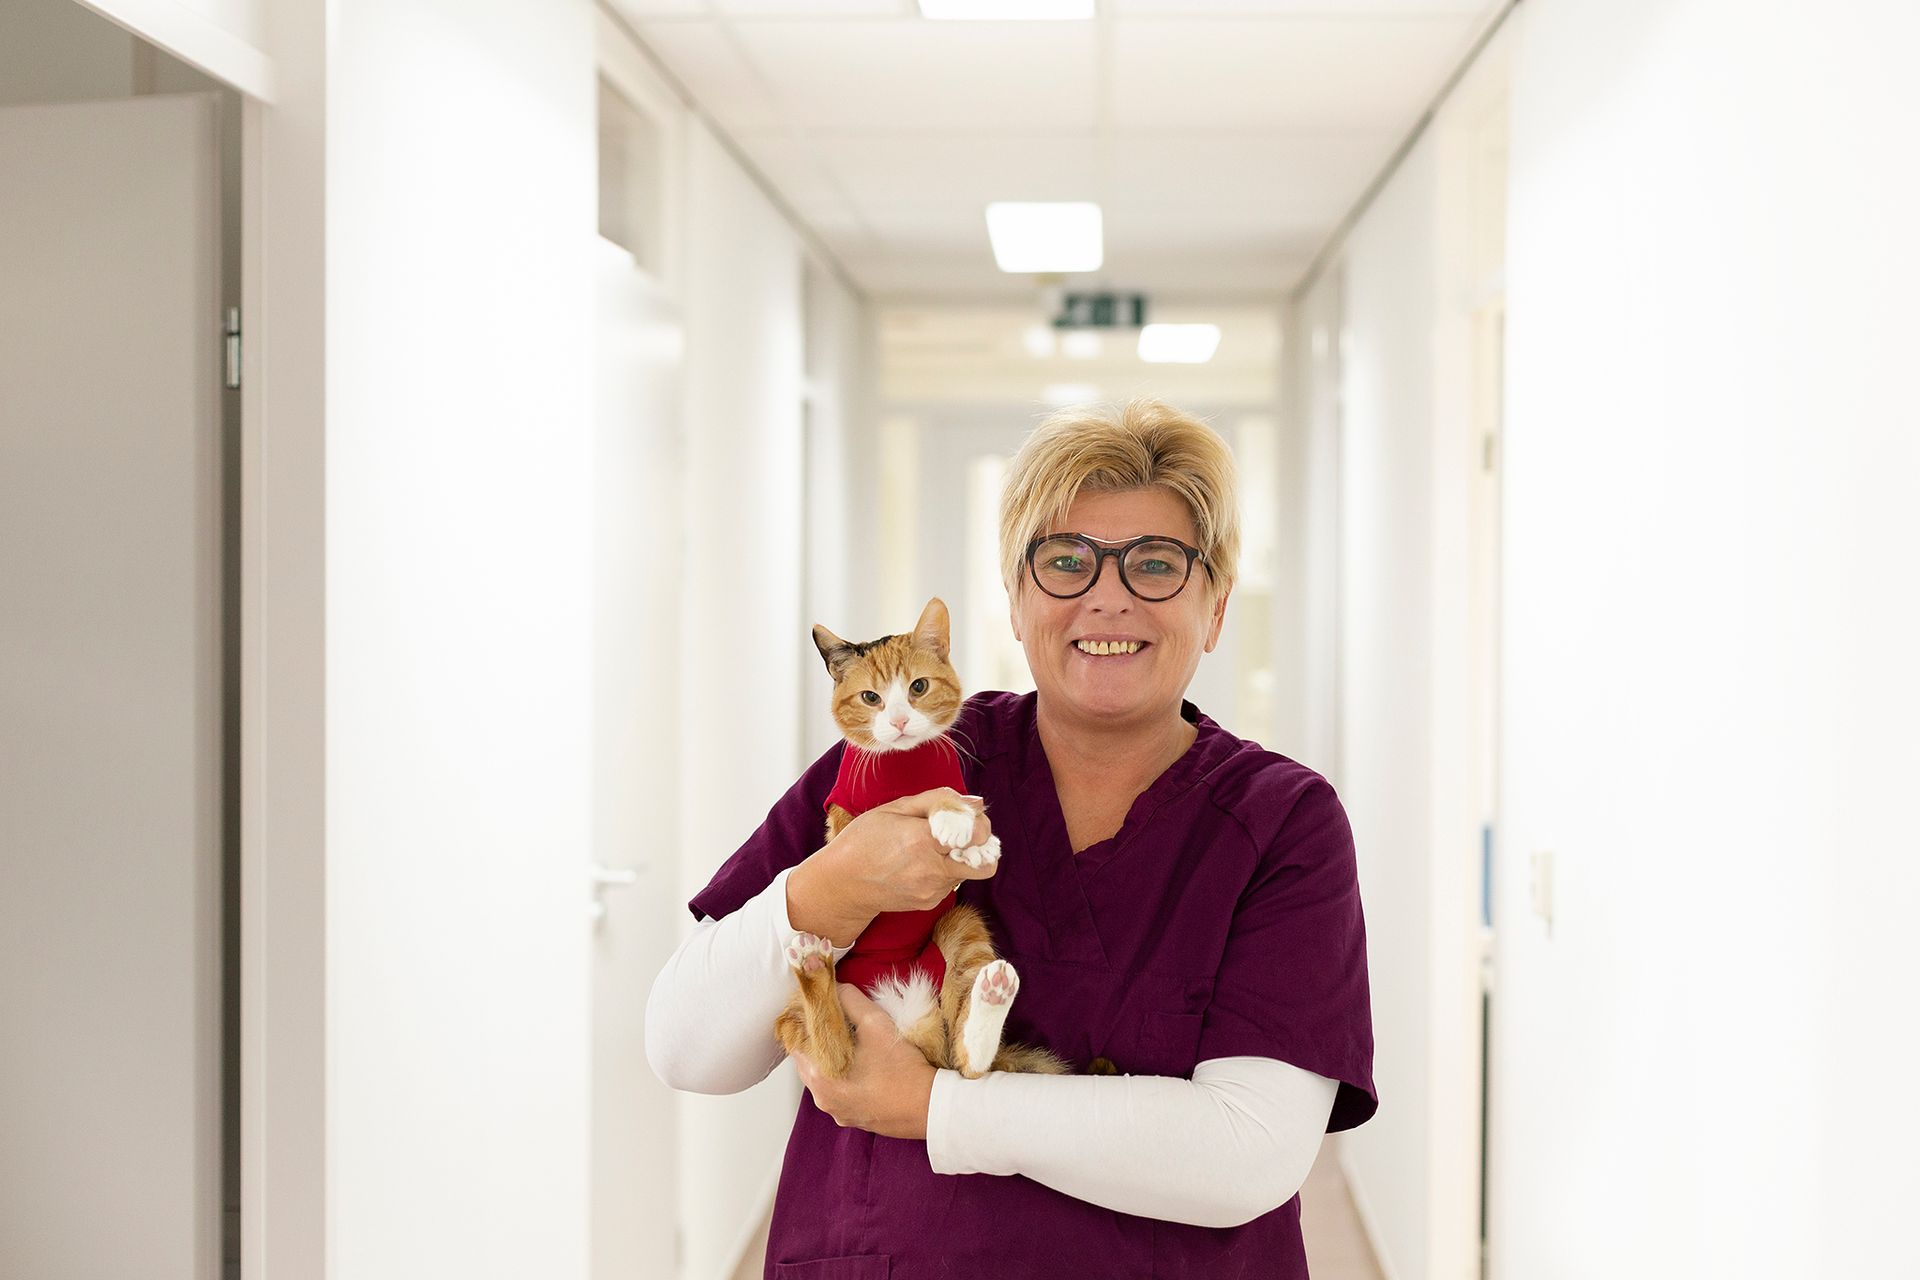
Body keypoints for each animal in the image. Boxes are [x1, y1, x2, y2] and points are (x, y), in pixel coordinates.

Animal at [775, 602, 1075, 1082]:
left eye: (918, 687)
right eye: (871, 698)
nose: (898, 721)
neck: (905, 762)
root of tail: (909, 1018)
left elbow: (958, 799)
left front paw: (976, 843)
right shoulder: (845, 822)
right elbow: (928, 799)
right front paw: (952, 822)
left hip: (960, 928)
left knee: (966, 1061)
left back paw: (991, 996)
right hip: (796, 1015)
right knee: (835, 1058)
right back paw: (814, 966)